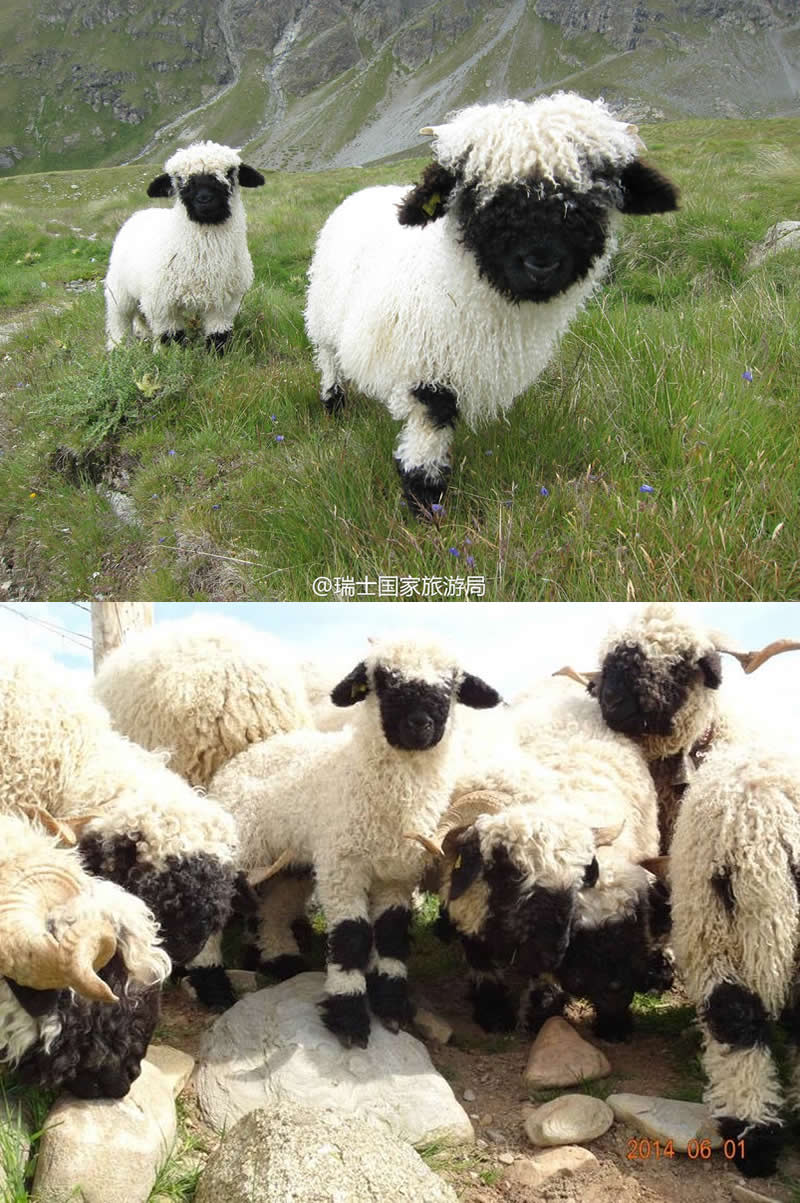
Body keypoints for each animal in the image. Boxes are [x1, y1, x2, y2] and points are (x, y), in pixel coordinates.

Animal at [104, 140, 265, 353]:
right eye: (179, 179)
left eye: (230, 173)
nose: (205, 199)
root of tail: (140, 213)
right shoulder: (162, 306)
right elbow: (170, 337)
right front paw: (169, 356)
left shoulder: (224, 304)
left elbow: (219, 337)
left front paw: (217, 356)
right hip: (119, 290)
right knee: (118, 320)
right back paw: (117, 348)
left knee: (140, 317)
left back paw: (142, 334)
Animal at [207, 633, 502, 1048]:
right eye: (385, 681)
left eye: (450, 687)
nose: (420, 724)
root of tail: (243, 757)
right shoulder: (342, 867)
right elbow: (352, 937)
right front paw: (349, 1017)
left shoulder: (398, 876)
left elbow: (391, 935)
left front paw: (391, 1008)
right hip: (243, 848)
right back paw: (210, 985)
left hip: (288, 860)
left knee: (274, 906)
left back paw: (280, 960)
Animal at [304, 92, 678, 517]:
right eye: (478, 193)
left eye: (594, 193)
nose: (541, 263)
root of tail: (363, 192)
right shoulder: (429, 366)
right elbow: (430, 431)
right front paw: (424, 503)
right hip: (323, 316)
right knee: (329, 359)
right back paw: (334, 403)